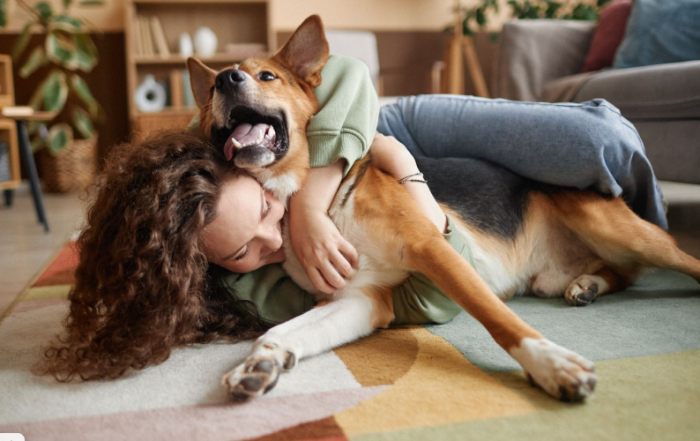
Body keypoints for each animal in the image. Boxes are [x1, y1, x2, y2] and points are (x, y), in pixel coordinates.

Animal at [186, 15, 700, 402]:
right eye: (211, 92)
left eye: (266, 76)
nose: (226, 79)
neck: (309, 204)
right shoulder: (360, 299)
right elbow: (285, 330)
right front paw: (262, 361)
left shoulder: (431, 247)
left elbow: (499, 320)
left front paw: (550, 364)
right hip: (558, 272)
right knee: (621, 274)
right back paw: (588, 285)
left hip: (616, 228)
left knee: (672, 261)